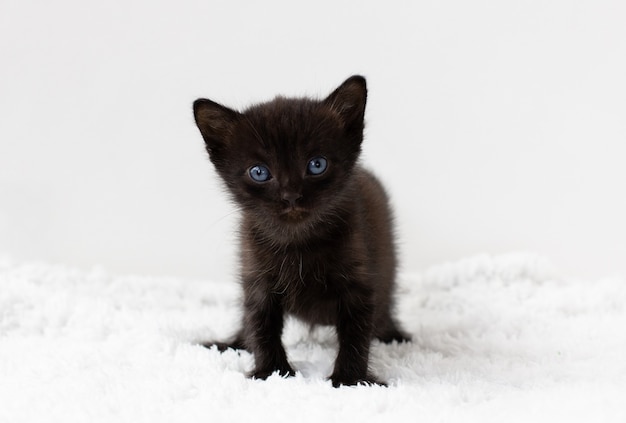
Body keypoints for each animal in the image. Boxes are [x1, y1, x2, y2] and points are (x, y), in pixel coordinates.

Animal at [195, 76, 410, 388]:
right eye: (259, 172)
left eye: (316, 165)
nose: (291, 196)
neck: (297, 242)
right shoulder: (257, 277)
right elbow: (260, 325)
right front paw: (271, 372)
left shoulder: (358, 279)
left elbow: (356, 332)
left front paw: (350, 380)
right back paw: (231, 343)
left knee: (382, 310)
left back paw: (394, 335)